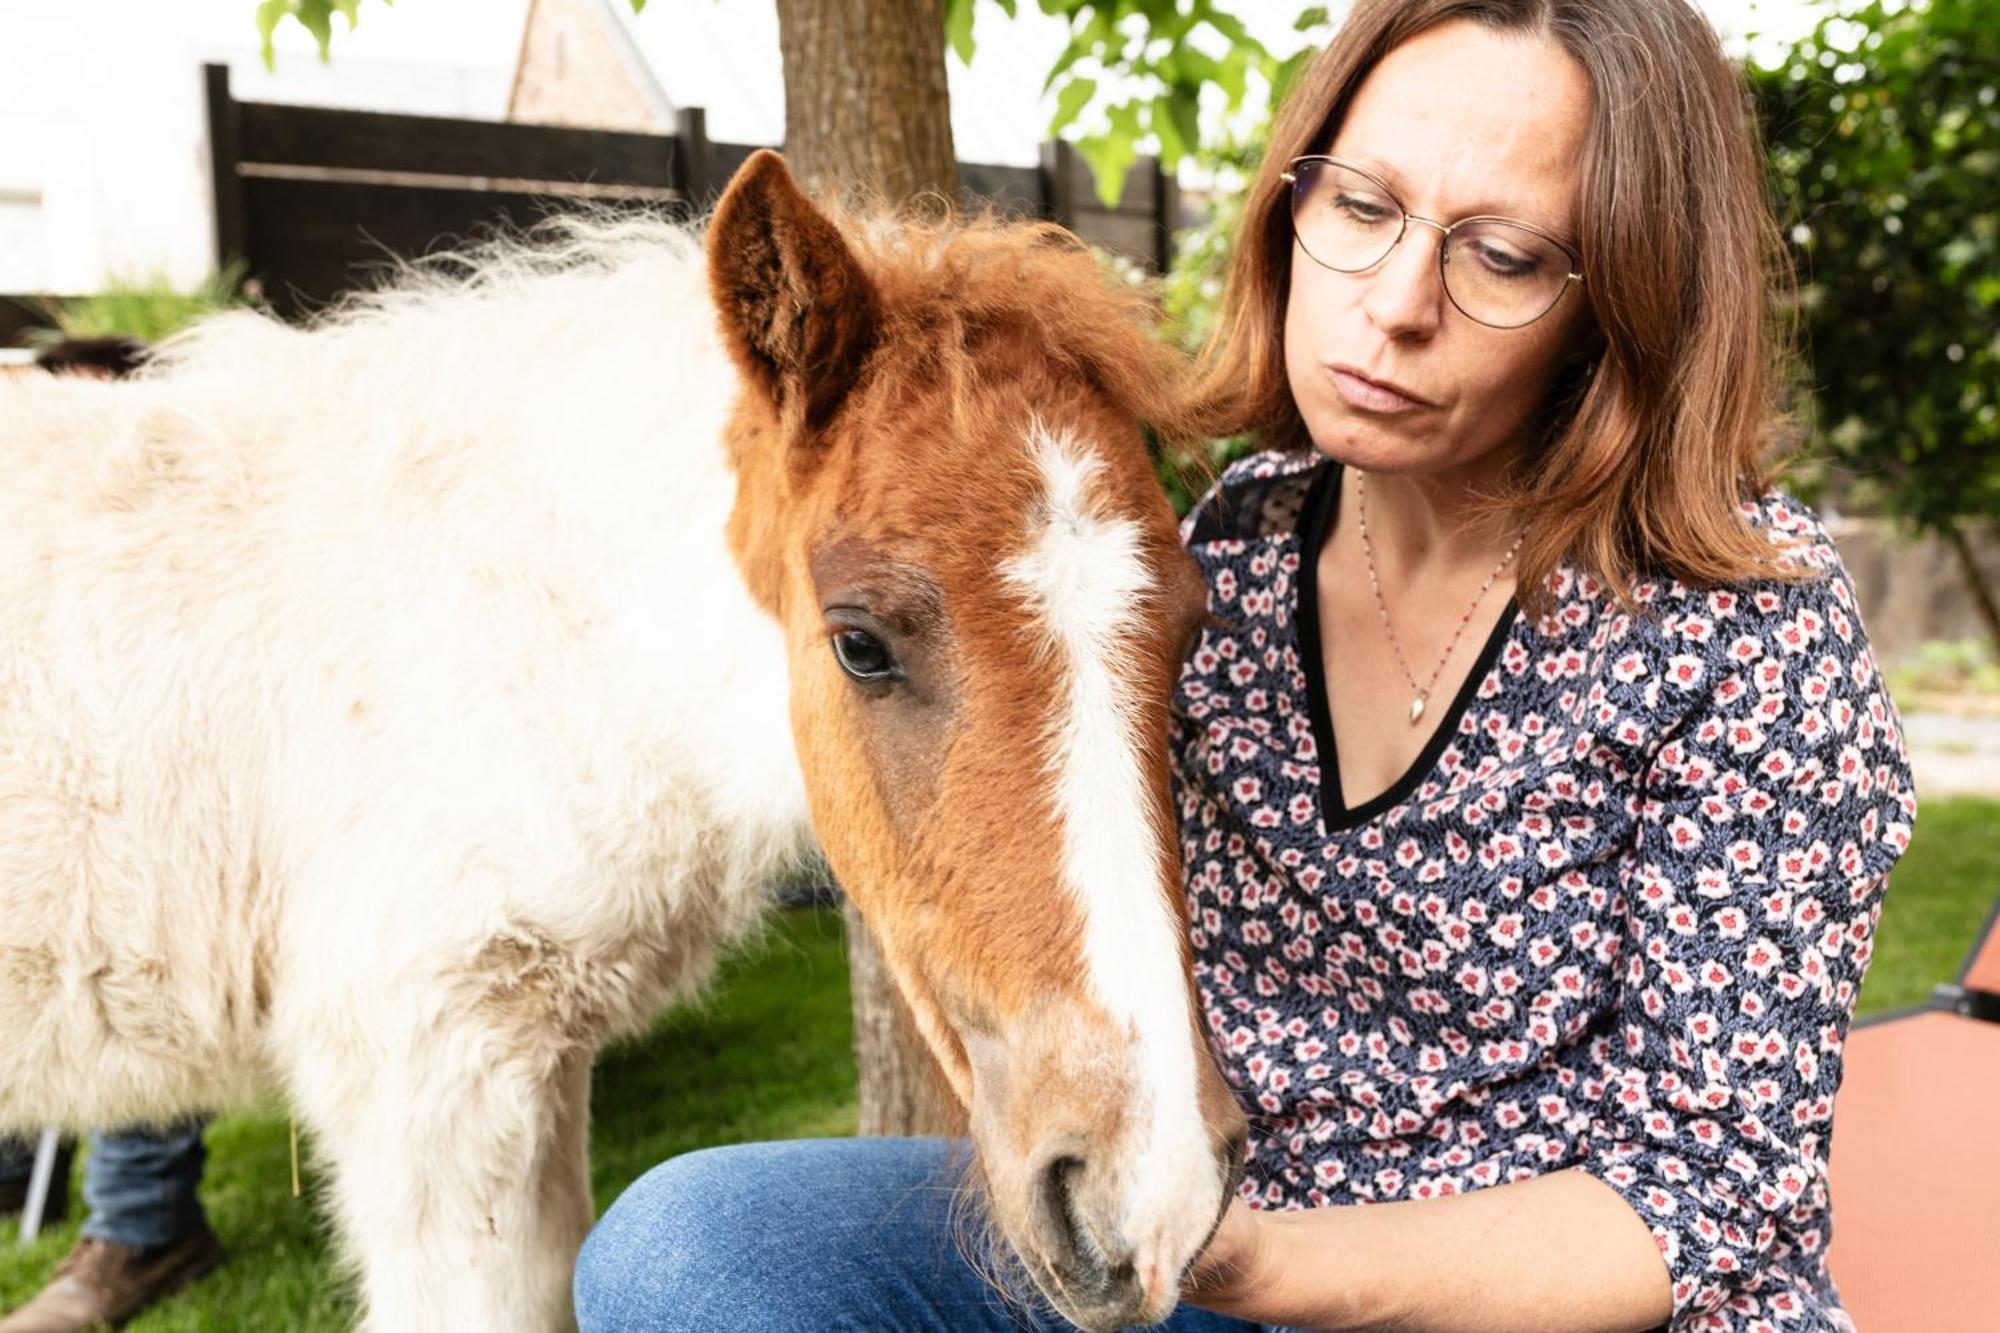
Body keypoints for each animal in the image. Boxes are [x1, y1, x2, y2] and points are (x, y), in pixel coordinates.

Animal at [0, 150, 1248, 1320]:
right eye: (858, 644)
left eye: (1191, 623)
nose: (1154, 1188)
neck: (510, 629)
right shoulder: (429, 1070)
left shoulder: (534, 1066)